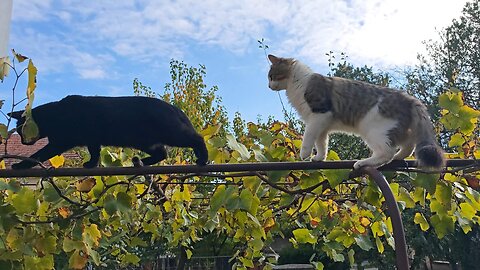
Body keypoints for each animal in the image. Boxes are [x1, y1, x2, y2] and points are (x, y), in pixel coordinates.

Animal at [8, 96, 208, 170]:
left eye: (21, 129)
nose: (23, 141)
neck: (54, 116)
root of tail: (174, 108)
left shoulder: (61, 142)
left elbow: (38, 154)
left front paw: (19, 165)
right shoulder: (92, 139)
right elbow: (95, 153)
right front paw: (91, 164)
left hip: (172, 133)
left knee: (197, 138)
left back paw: (203, 159)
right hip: (145, 142)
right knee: (162, 153)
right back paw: (140, 161)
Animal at [268, 54, 444, 170]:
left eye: (271, 76)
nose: (269, 86)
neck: (299, 83)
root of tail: (409, 98)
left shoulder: (319, 114)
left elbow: (308, 138)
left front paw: (304, 154)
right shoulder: (321, 125)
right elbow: (322, 144)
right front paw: (318, 158)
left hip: (374, 130)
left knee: (386, 152)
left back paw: (363, 162)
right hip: (398, 130)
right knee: (407, 147)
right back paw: (397, 157)